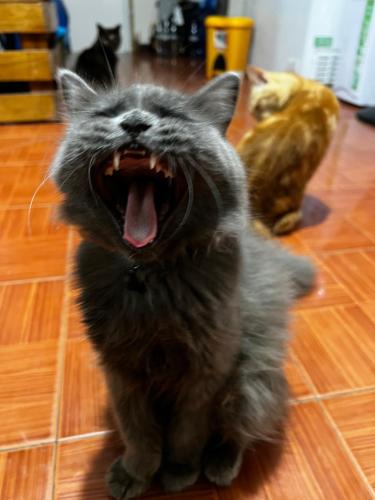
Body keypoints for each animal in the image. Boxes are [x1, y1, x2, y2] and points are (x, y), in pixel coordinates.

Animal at [50, 68, 314, 498]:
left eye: (169, 114)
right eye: (109, 113)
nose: (135, 123)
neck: (149, 279)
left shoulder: (208, 369)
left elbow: (187, 430)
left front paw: (179, 471)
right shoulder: (120, 371)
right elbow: (138, 432)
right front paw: (135, 474)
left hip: (251, 381)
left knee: (241, 429)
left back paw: (220, 464)